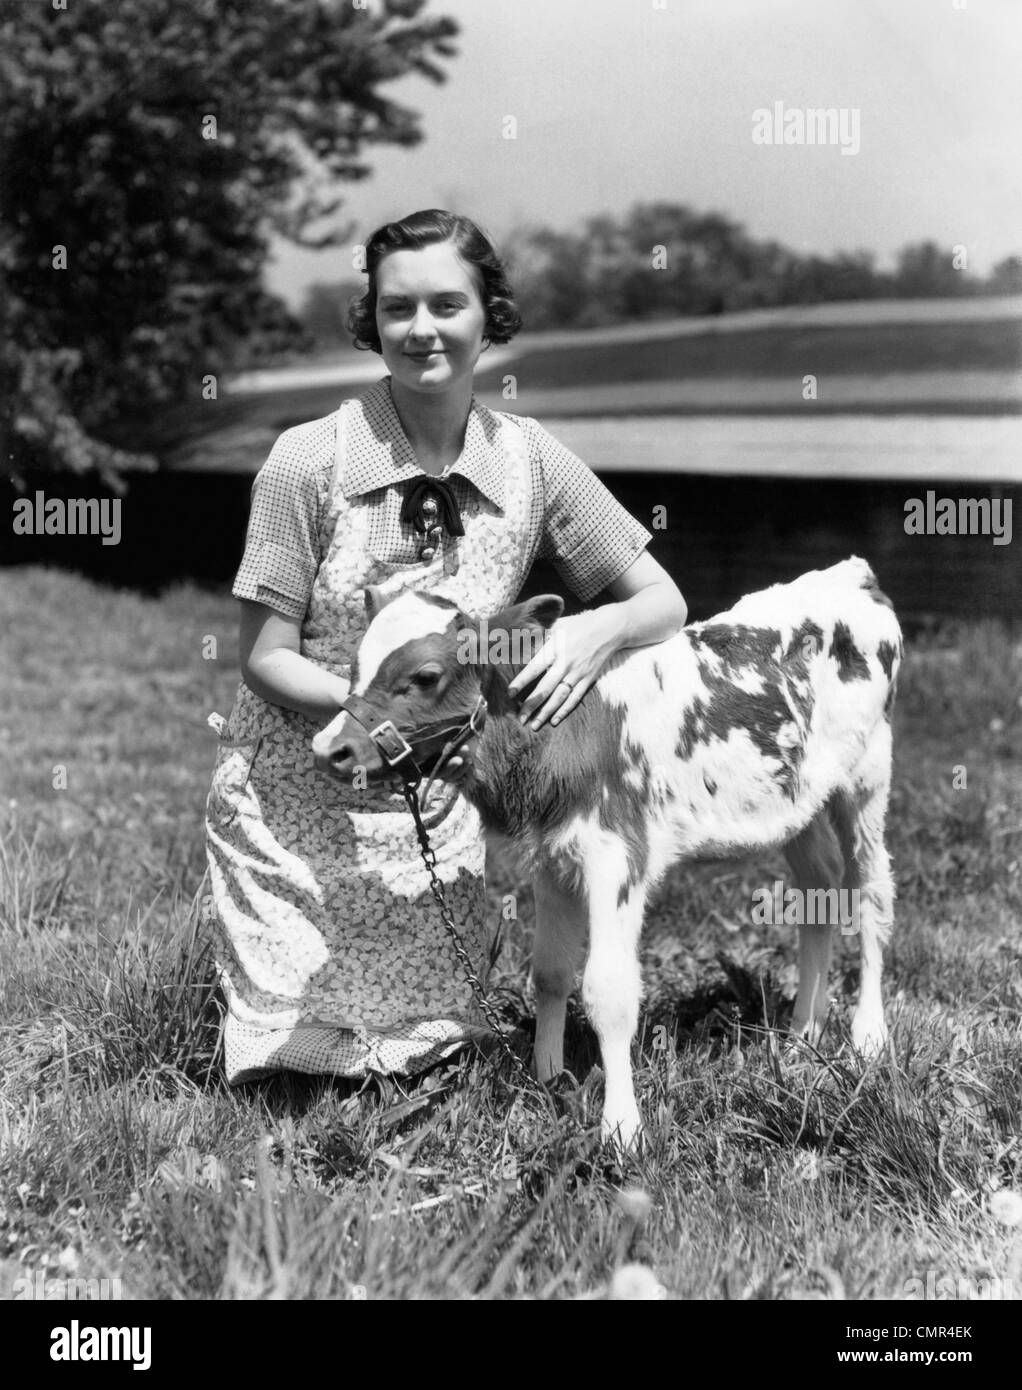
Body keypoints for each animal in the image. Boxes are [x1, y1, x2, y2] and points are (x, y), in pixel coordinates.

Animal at [314, 553, 901, 1150]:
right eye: (355, 665)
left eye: (426, 676)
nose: (329, 749)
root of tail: (849, 572)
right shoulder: (552, 859)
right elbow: (550, 972)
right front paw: (548, 1080)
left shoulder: (617, 854)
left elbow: (608, 992)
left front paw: (622, 1127)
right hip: (798, 801)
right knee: (819, 890)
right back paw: (803, 1032)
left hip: (868, 774)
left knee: (872, 896)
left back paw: (867, 1036)